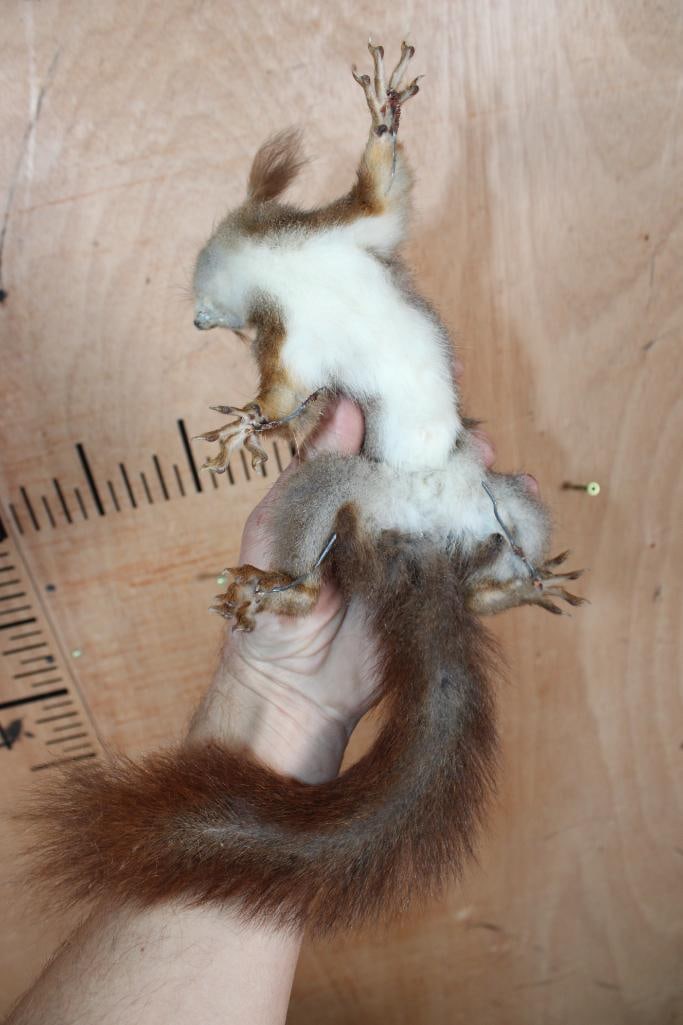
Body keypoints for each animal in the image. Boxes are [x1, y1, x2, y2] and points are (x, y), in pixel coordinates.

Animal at [29, 43, 584, 933]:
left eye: (205, 306)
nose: (197, 321)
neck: (278, 270)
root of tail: (427, 544)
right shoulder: (295, 343)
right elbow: (287, 390)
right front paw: (251, 424)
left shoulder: (343, 237)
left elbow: (382, 195)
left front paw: (383, 114)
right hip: (342, 486)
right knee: (328, 524)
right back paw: (291, 587)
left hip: (507, 498)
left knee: (504, 550)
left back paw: (512, 590)